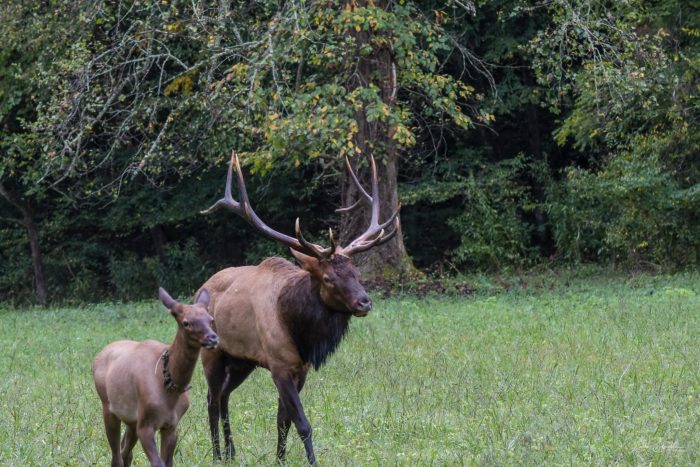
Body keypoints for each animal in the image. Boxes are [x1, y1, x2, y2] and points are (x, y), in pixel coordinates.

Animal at [93, 288, 217, 467]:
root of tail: (98, 356)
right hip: (108, 406)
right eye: (186, 322)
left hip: (131, 420)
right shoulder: (145, 424)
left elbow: (168, 462)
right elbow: (158, 463)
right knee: (116, 456)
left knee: (126, 453)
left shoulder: (172, 425)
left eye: (211, 319)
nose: (213, 338)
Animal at [200, 153, 402, 464]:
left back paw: (232, 452)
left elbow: (283, 421)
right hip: (211, 353)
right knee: (211, 399)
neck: (300, 331)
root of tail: (201, 287)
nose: (364, 302)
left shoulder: (300, 368)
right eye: (329, 278)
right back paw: (218, 455)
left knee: (223, 396)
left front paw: (280, 459)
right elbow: (303, 423)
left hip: (241, 360)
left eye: (357, 273)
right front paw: (312, 460)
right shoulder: (279, 366)